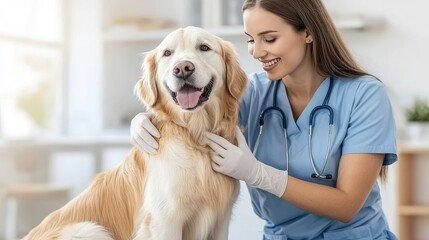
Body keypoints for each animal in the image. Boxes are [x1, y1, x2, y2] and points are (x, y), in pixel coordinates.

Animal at [22, 25, 247, 239]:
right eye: (167, 53)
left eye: (204, 47)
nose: (182, 68)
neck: (195, 135)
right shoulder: (165, 220)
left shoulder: (221, 221)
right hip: (88, 229)